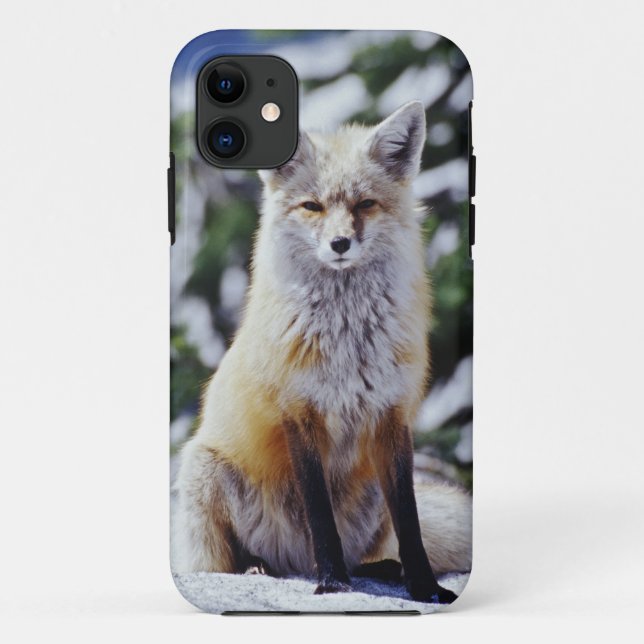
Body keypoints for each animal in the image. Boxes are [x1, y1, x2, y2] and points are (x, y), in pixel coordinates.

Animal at [173, 101, 472, 604]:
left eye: (364, 204)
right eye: (312, 206)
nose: (339, 244)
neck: (348, 342)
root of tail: (294, 561)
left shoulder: (392, 415)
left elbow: (410, 521)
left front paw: (425, 588)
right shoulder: (299, 412)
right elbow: (320, 516)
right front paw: (332, 584)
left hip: (370, 498)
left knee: (372, 549)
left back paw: (383, 569)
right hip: (204, 469)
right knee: (230, 560)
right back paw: (259, 567)